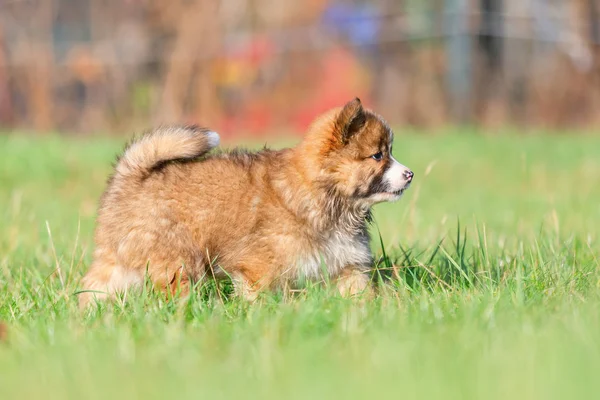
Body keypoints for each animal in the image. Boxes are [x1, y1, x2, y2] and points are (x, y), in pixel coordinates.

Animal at [78, 98, 412, 308]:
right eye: (378, 156)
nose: (409, 174)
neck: (327, 197)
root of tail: (132, 174)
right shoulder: (257, 270)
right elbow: (259, 299)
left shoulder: (348, 266)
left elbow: (359, 294)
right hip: (176, 263)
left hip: (117, 261)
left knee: (92, 288)